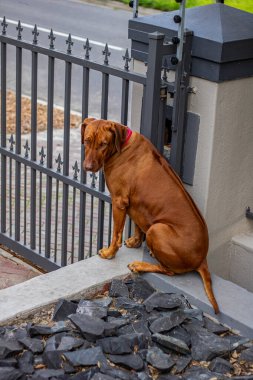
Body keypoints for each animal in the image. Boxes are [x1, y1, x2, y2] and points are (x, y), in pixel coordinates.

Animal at [81, 117, 219, 314]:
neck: (122, 146)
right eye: (87, 140)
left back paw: (140, 265)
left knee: (170, 271)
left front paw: (109, 253)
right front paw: (135, 242)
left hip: (157, 229)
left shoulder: (119, 201)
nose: (88, 167)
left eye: (104, 144)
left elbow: (116, 234)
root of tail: (202, 259)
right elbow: (138, 225)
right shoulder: (136, 205)